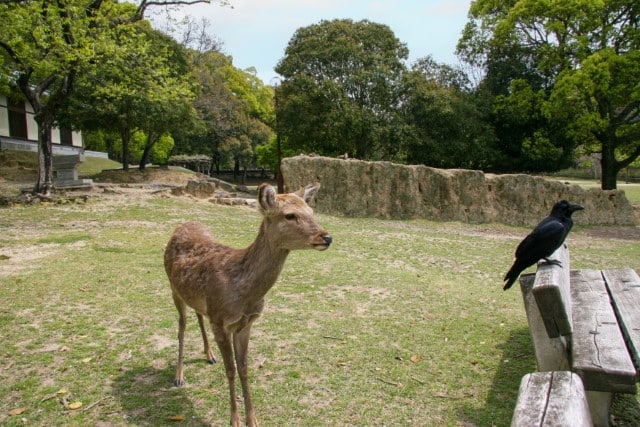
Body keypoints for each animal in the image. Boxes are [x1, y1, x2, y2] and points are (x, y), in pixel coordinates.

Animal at [162, 182, 332, 426]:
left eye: (311, 211)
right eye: (290, 215)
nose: (326, 237)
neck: (244, 293)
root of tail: (181, 225)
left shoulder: (245, 324)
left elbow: (244, 368)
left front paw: (253, 420)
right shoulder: (220, 321)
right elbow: (231, 369)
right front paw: (234, 420)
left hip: (196, 299)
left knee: (198, 315)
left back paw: (209, 355)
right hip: (173, 288)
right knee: (181, 326)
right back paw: (179, 376)